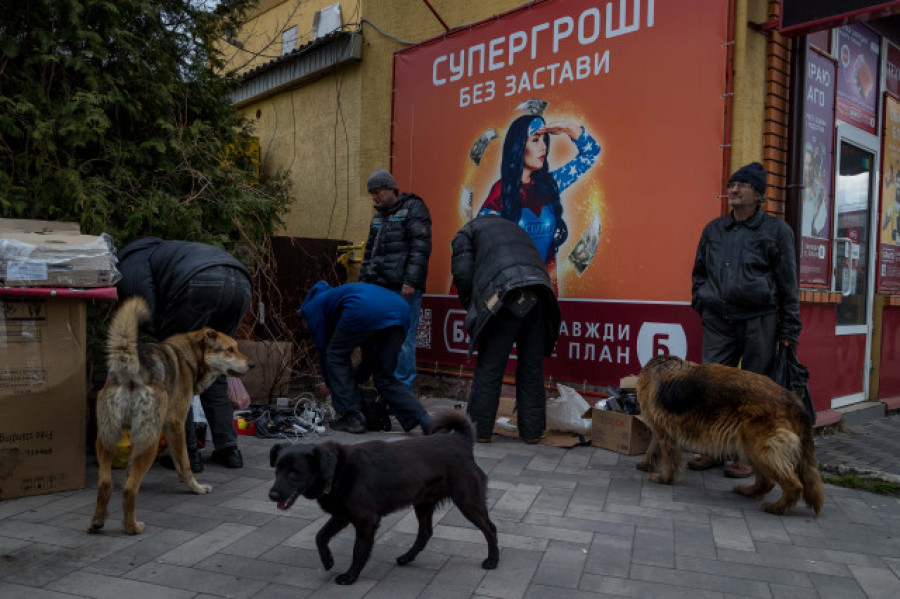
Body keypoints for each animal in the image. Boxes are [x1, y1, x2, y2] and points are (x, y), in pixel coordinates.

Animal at [88, 298, 251, 536]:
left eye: (237, 348)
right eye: (230, 349)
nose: (251, 365)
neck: (188, 357)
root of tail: (130, 371)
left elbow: (133, 466)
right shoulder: (176, 423)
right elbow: (185, 462)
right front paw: (196, 487)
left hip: (107, 439)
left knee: (105, 484)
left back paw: (97, 522)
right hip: (151, 441)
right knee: (129, 490)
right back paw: (132, 527)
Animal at [270, 410, 502, 584]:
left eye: (295, 473)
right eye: (277, 470)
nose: (272, 495)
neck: (338, 470)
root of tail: (461, 440)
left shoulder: (366, 520)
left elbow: (358, 551)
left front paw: (350, 576)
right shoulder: (342, 515)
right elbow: (320, 536)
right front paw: (327, 561)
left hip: (467, 501)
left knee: (490, 528)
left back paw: (493, 561)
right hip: (423, 503)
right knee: (425, 533)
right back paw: (407, 557)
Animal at [632, 356, 824, 516]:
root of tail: (791, 399)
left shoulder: (665, 434)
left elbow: (669, 459)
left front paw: (665, 478)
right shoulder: (660, 430)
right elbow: (653, 449)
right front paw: (647, 464)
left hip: (759, 448)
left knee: (794, 484)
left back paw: (778, 507)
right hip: (750, 447)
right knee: (767, 481)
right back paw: (750, 492)